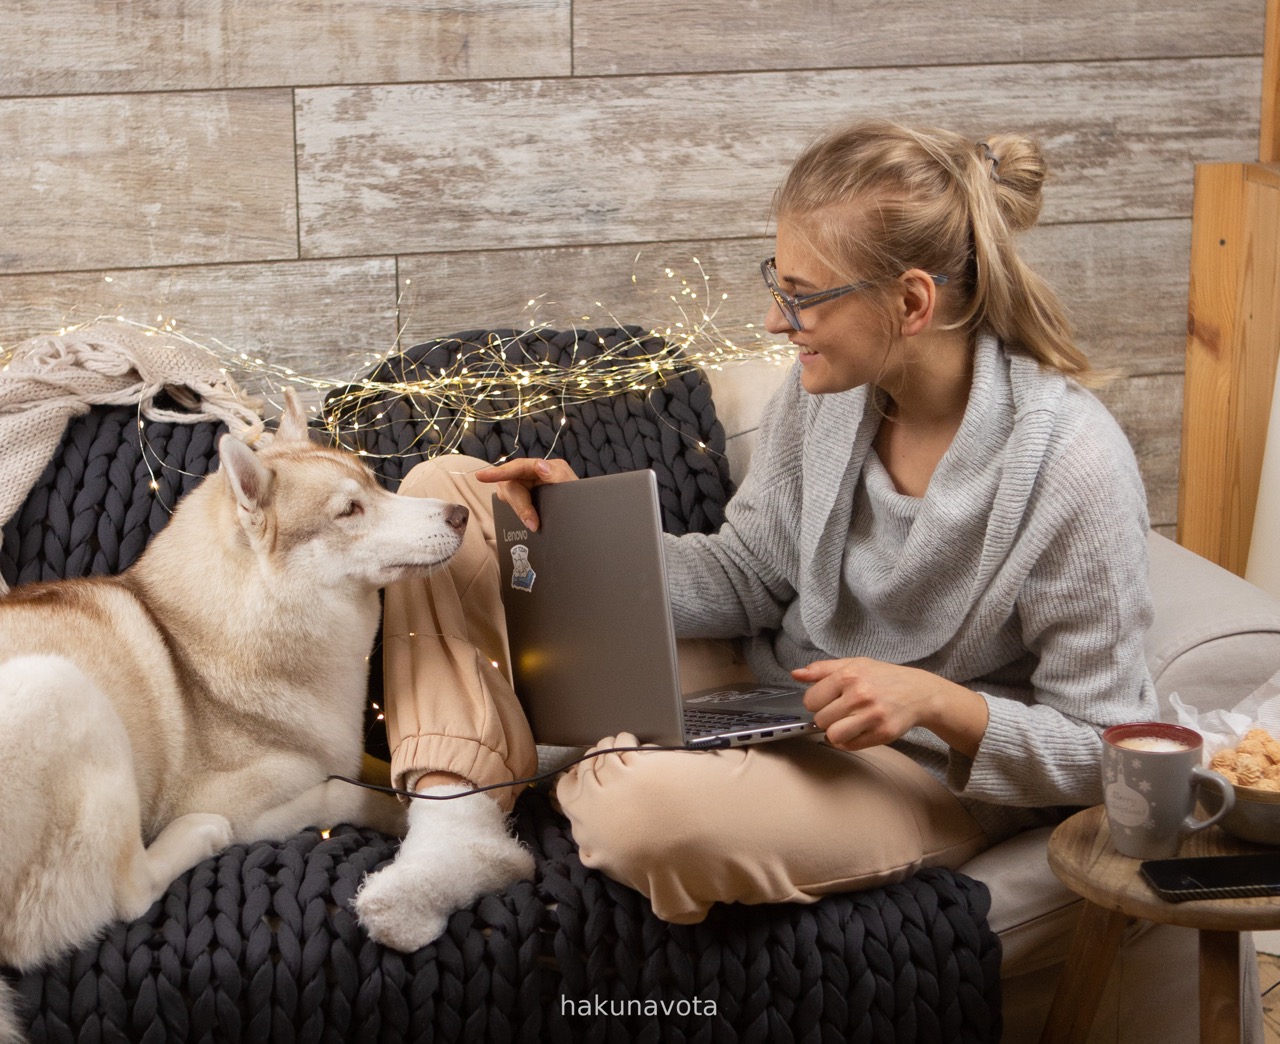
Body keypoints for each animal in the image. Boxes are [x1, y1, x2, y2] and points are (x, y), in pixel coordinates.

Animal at [0, 394, 476, 1033]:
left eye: (377, 484)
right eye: (349, 510)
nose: (459, 514)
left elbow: (370, 767)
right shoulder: (252, 808)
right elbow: (342, 792)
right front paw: (402, 816)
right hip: (60, 686)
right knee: (125, 894)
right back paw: (197, 837)